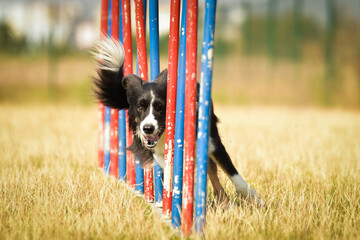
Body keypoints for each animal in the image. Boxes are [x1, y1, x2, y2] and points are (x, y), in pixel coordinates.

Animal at [93, 37, 262, 206]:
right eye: (140, 107)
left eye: (161, 107)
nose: (148, 128)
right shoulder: (160, 154)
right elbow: (175, 173)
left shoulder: (213, 142)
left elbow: (232, 173)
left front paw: (255, 199)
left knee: (211, 168)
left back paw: (222, 201)